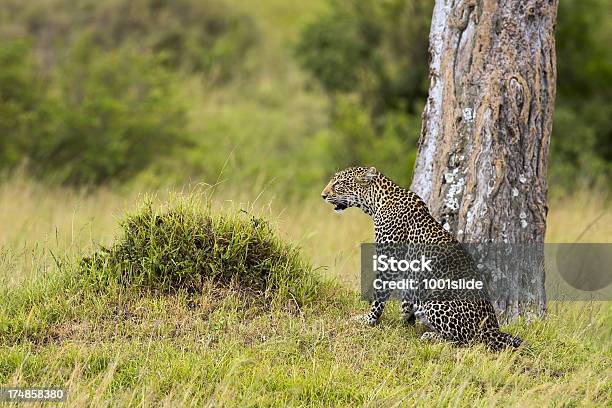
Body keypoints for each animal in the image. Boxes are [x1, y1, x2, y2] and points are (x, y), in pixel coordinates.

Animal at [318, 166, 524, 350]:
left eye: (338, 184)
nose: (323, 195)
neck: (377, 202)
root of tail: (493, 327)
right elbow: (405, 297)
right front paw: (404, 321)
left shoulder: (390, 260)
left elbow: (379, 295)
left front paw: (369, 319)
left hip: (435, 298)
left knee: (467, 340)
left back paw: (431, 336)